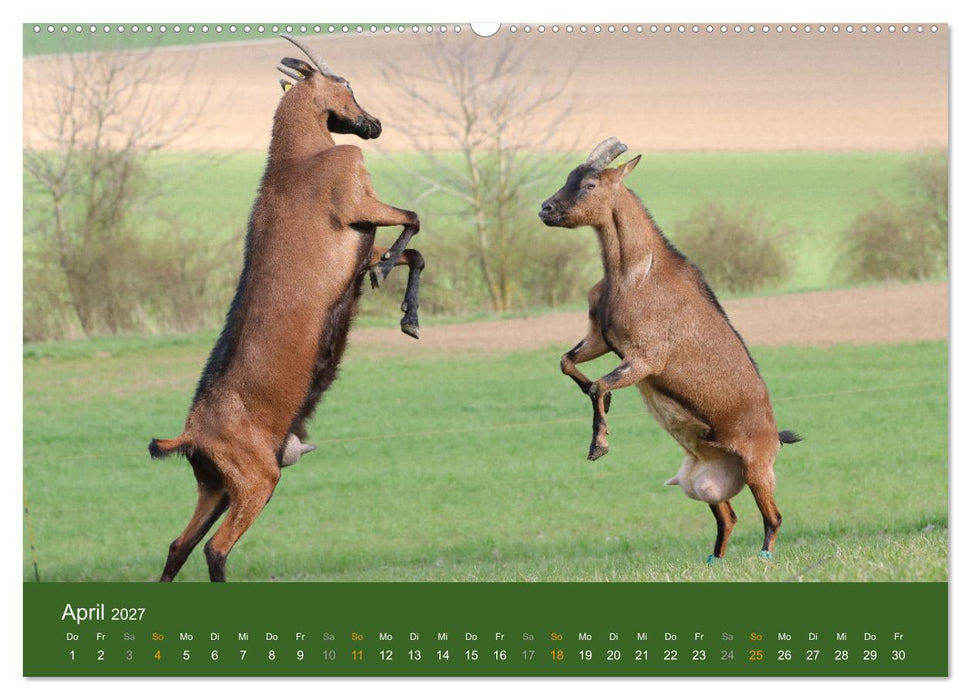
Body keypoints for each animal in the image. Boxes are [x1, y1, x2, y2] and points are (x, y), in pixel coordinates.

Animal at [148, 34, 424, 582]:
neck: (300, 158)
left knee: (178, 545)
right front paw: (388, 277)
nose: (374, 125)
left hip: (215, 486)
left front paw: (409, 316)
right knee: (216, 549)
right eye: (345, 83)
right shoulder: (358, 203)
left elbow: (415, 252)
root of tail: (189, 434)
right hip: (256, 480)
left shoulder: (360, 242)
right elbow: (413, 220)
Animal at [539, 137, 800, 562]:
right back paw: (714, 560)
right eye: (569, 177)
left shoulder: (644, 358)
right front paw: (601, 409)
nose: (545, 209)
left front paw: (599, 446)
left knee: (773, 517)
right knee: (728, 518)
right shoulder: (600, 338)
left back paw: (763, 557)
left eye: (590, 184)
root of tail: (775, 434)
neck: (637, 273)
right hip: (707, 479)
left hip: (758, 467)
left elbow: (599, 384)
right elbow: (569, 364)